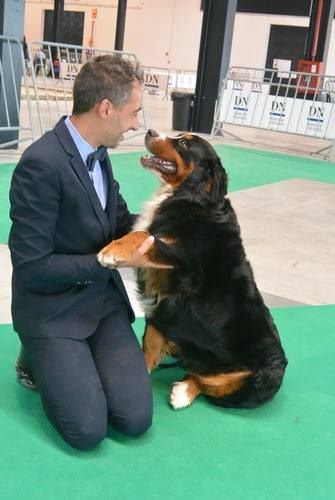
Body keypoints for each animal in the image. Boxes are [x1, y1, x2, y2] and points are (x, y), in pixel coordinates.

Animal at [98, 129, 288, 410]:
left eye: (184, 144)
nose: (149, 131)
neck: (190, 196)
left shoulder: (182, 264)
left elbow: (145, 235)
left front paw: (111, 252)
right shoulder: (161, 304)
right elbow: (149, 346)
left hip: (257, 380)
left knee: (205, 382)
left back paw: (183, 393)